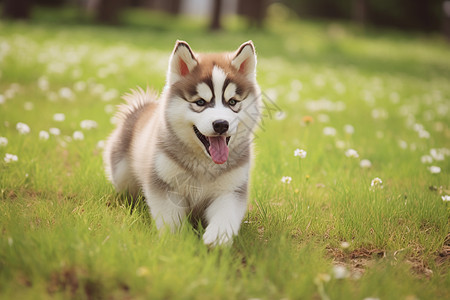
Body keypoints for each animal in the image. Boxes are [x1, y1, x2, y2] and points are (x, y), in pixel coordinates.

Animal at [103, 40, 262, 246]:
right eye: (200, 102)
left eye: (233, 102)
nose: (221, 124)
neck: (204, 164)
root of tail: (143, 107)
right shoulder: (164, 185)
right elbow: (170, 220)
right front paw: (177, 242)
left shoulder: (231, 189)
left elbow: (226, 214)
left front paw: (218, 237)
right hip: (122, 172)